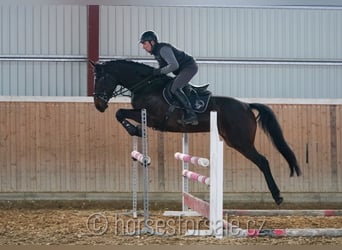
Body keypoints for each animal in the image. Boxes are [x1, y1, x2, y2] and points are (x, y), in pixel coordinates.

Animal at [91, 59, 302, 205]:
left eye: (101, 79)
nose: (99, 105)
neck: (146, 85)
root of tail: (246, 106)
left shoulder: (153, 118)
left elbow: (120, 112)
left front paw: (135, 130)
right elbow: (120, 113)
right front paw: (135, 130)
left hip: (241, 142)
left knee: (263, 161)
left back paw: (277, 196)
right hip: (233, 140)